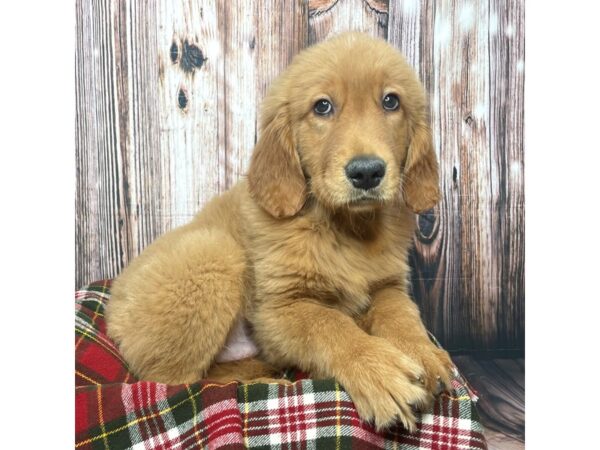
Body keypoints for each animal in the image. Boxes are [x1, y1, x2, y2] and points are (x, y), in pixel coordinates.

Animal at [106, 31, 450, 432]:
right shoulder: (277, 310)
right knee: (172, 383)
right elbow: (329, 323)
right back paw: (266, 383)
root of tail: (113, 303)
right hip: (215, 253)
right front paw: (378, 370)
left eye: (391, 101)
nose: (366, 172)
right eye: (322, 107)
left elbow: (401, 314)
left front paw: (423, 353)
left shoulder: (388, 285)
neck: (344, 228)